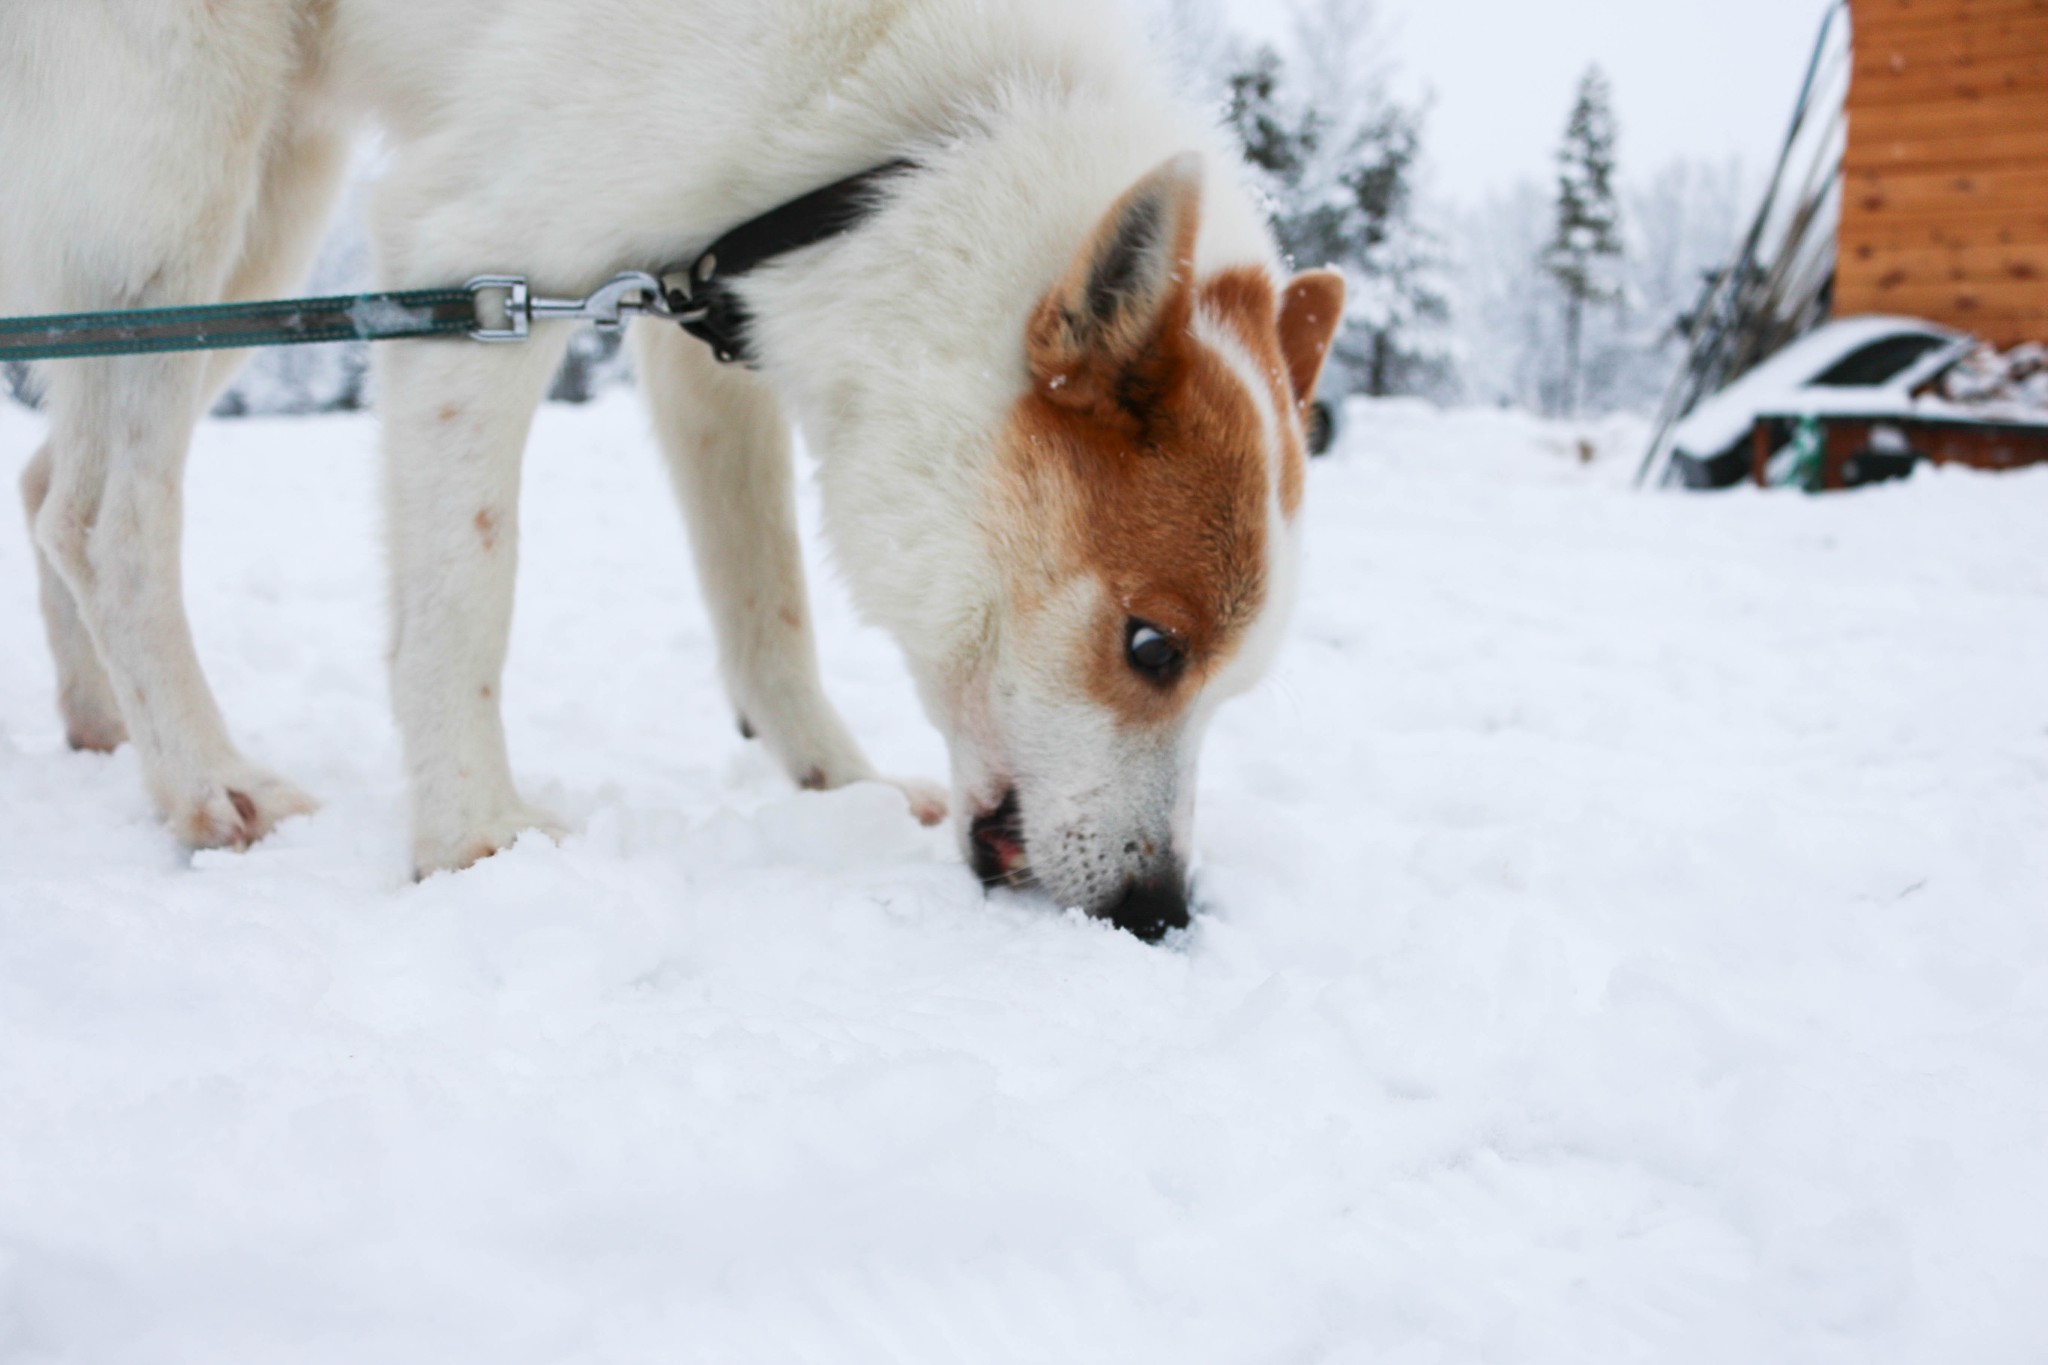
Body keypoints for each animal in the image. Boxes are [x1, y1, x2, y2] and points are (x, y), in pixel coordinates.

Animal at [4, 0, 1343, 941]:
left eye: (1229, 685)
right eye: (1151, 649)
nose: (1159, 913)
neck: (898, 134)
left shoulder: (700, 324)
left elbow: (767, 605)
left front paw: (834, 784)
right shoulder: (471, 269)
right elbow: (463, 605)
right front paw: (472, 839)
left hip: (262, 232)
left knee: (46, 478)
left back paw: (106, 726)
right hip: (184, 171)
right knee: (103, 512)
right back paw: (206, 781)